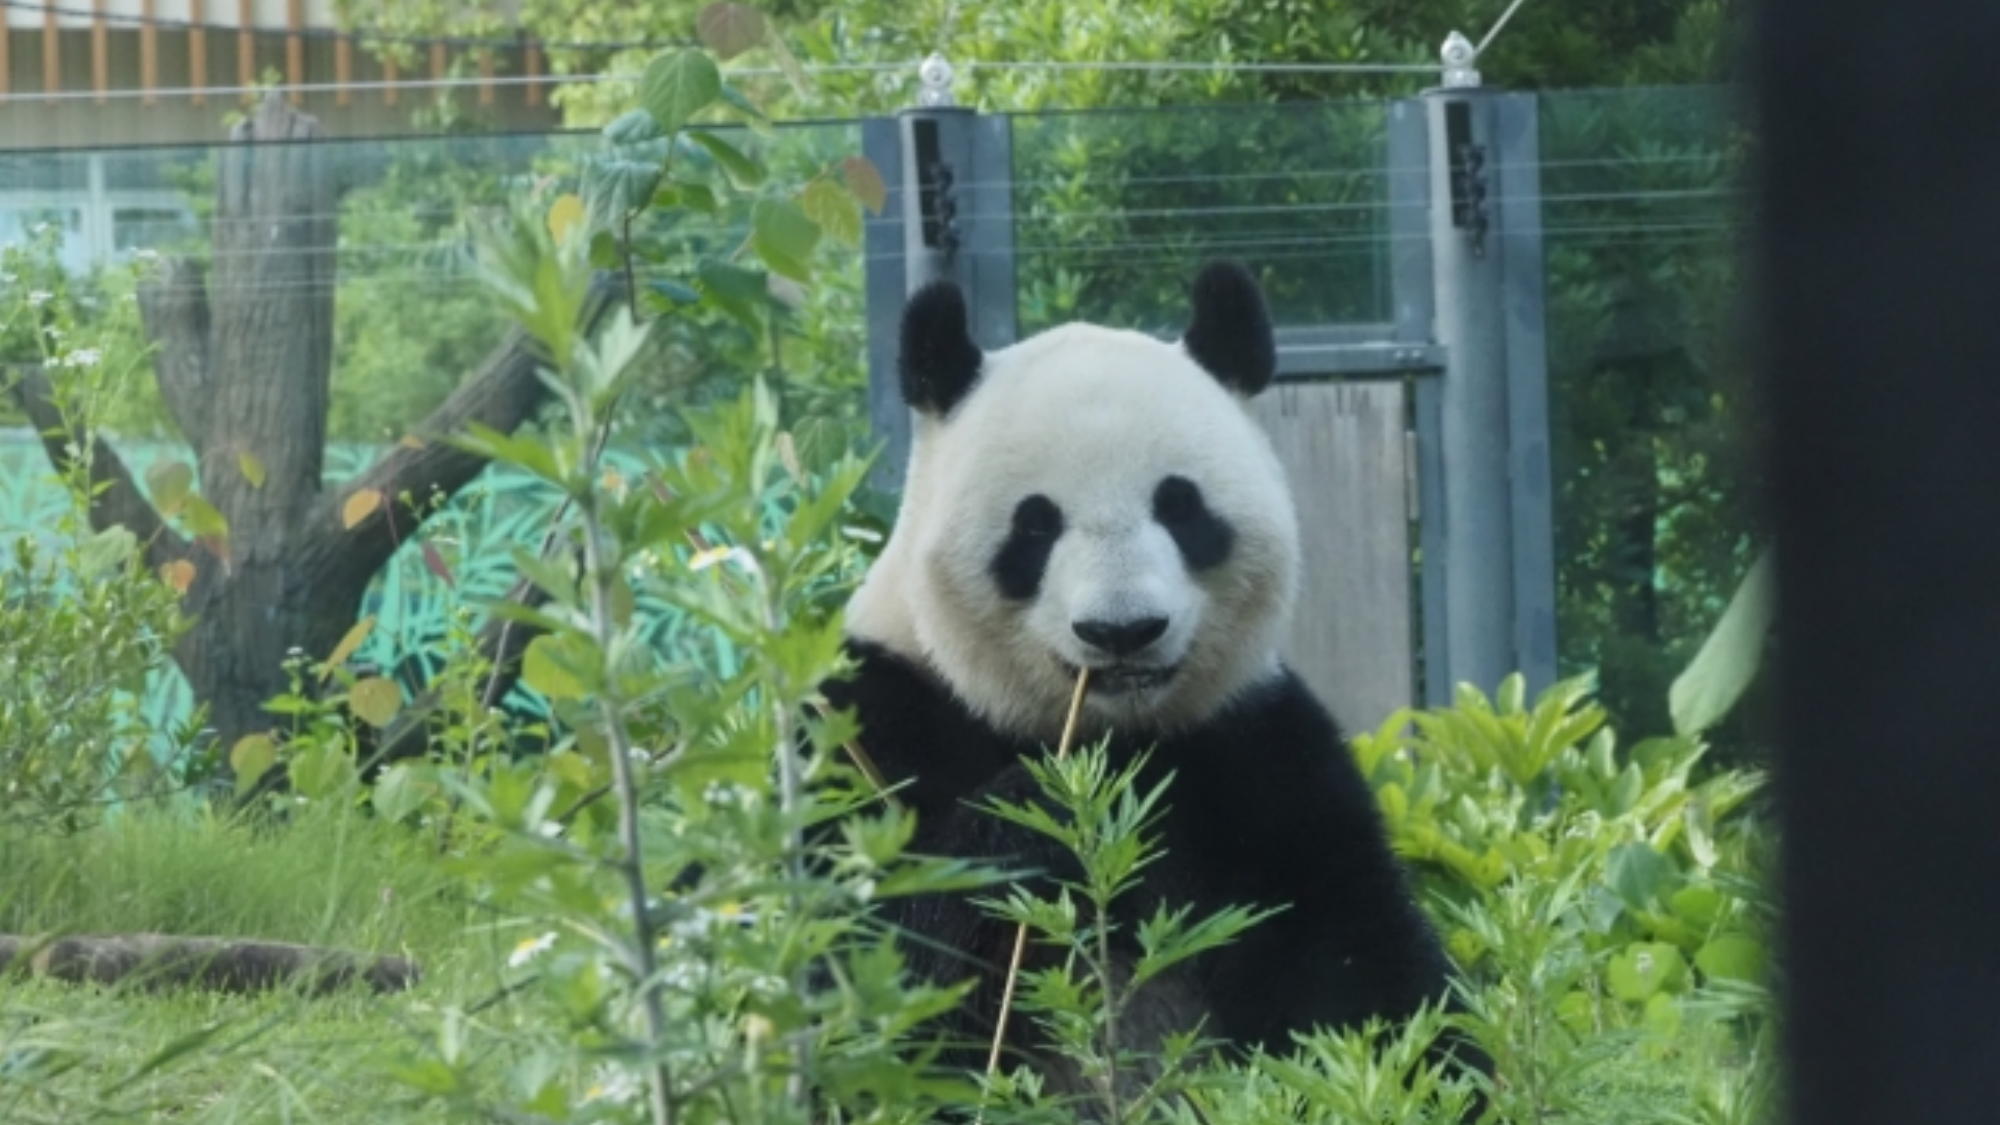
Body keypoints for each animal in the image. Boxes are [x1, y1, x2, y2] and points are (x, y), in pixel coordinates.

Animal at [816, 258, 1488, 1096]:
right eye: (1035, 524)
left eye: (1180, 505)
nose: (1122, 630)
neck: (1113, 733)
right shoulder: (875, 714)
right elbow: (856, 958)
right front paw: (1040, 816)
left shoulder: (1257, 748)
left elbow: (1358, 959)